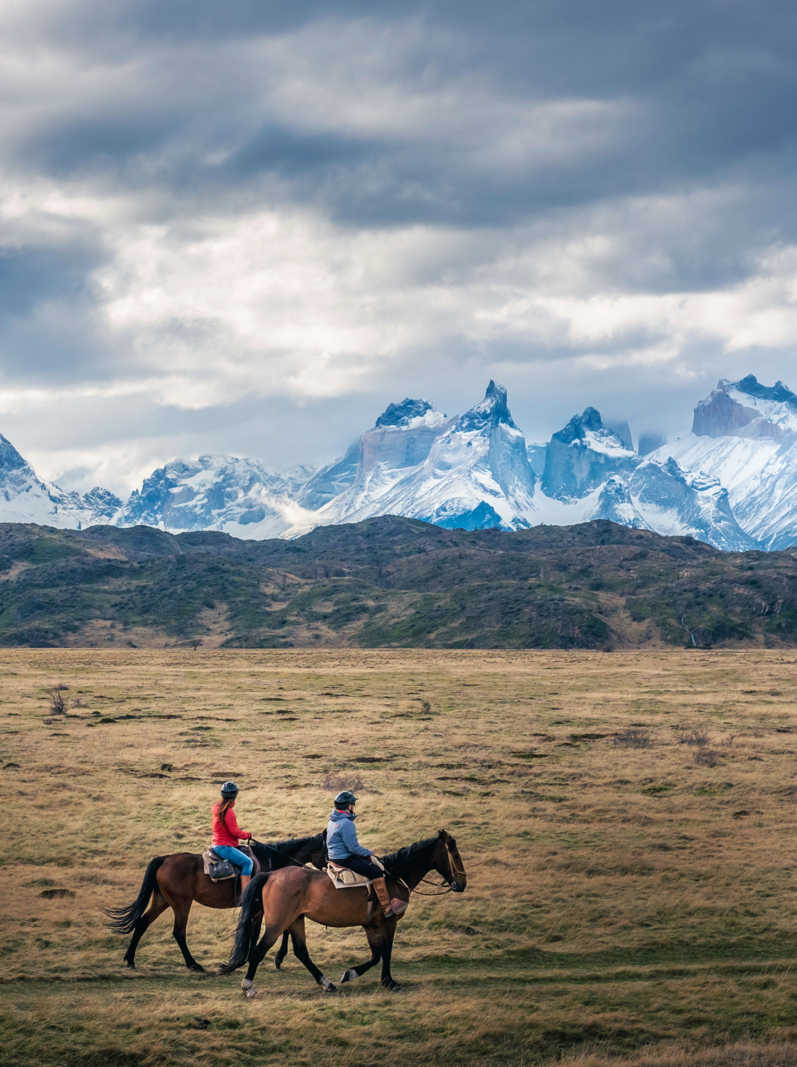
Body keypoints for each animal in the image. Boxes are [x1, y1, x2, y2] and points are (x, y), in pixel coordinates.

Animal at [106, 832, 326, 977]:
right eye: (326, 849)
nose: (332, 865)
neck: (271, 862)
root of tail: (165, 859)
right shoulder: (260, 908)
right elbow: (264, 931)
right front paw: (262, 957)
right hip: (181, 904)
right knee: (179, 932)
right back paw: (193, 964)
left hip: (162, 901)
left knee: (142, 923)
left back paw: (130, 959)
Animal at [222, 827, 467, 994]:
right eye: (455, 855)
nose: (462, 884)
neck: (393, 875)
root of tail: (271, 875)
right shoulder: (388, 923)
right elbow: (385, 952)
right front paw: (388, 982)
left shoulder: (371, 925)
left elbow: (376, 954)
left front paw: (351, 973)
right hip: (277, 924)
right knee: (258, 950)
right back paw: (248, 986)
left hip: (295, 920)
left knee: (301, 952)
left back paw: (325, 982)